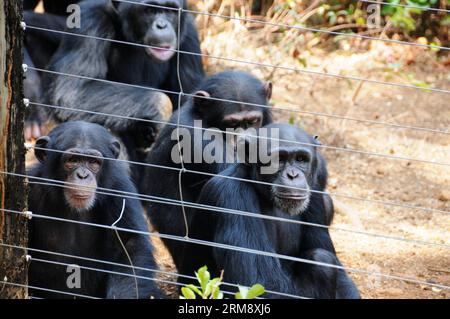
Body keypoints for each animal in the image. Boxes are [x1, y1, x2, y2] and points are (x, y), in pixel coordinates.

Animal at [37, 0, 205, 152]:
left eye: (170, 11)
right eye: (150, 10)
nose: (162, 25)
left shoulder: (189, 34)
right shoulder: (89, 21)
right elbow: (73, 90)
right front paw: (161, 106)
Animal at [178, 124, 360, 298]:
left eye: (301, 159)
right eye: (279, 160)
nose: (293, 175)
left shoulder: (315, 191)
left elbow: (340, 272)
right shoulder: (230, 194)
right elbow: (258, 284)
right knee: (321, 262)